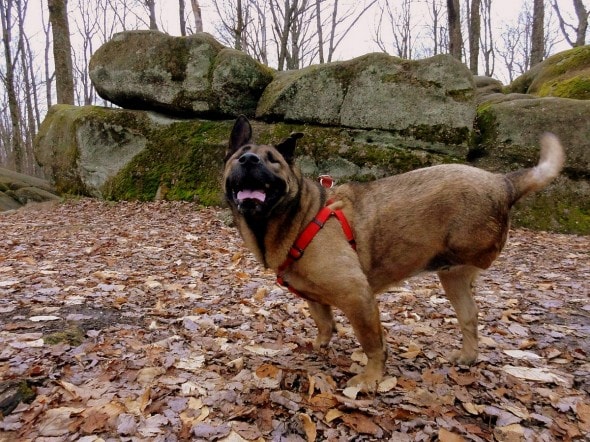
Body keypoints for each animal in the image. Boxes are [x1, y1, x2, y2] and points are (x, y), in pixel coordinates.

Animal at [224, 115, 568, 392]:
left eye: (273, 161)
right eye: (240, 156)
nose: (250, 160)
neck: (300, 217)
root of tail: (502, 182)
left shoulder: (357, 297)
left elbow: (372, 344)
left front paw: (371, 378)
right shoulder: (317, 299)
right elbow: (324, 322)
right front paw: (322, 343)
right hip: (453, 281)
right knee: (470, 316)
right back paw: (468, 356)